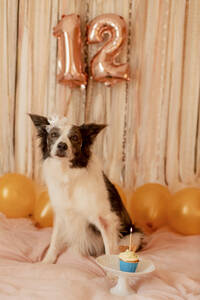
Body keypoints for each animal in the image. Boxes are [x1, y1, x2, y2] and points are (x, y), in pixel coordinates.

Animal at [29, 115, 144, 262]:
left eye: (74, 137)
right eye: (54, 135)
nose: (62, 145)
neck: (68, 173)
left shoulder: (106, 219)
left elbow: (110, 249)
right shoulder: (62, 214)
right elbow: (54, 241)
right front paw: (47, 261)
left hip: (133, 236)